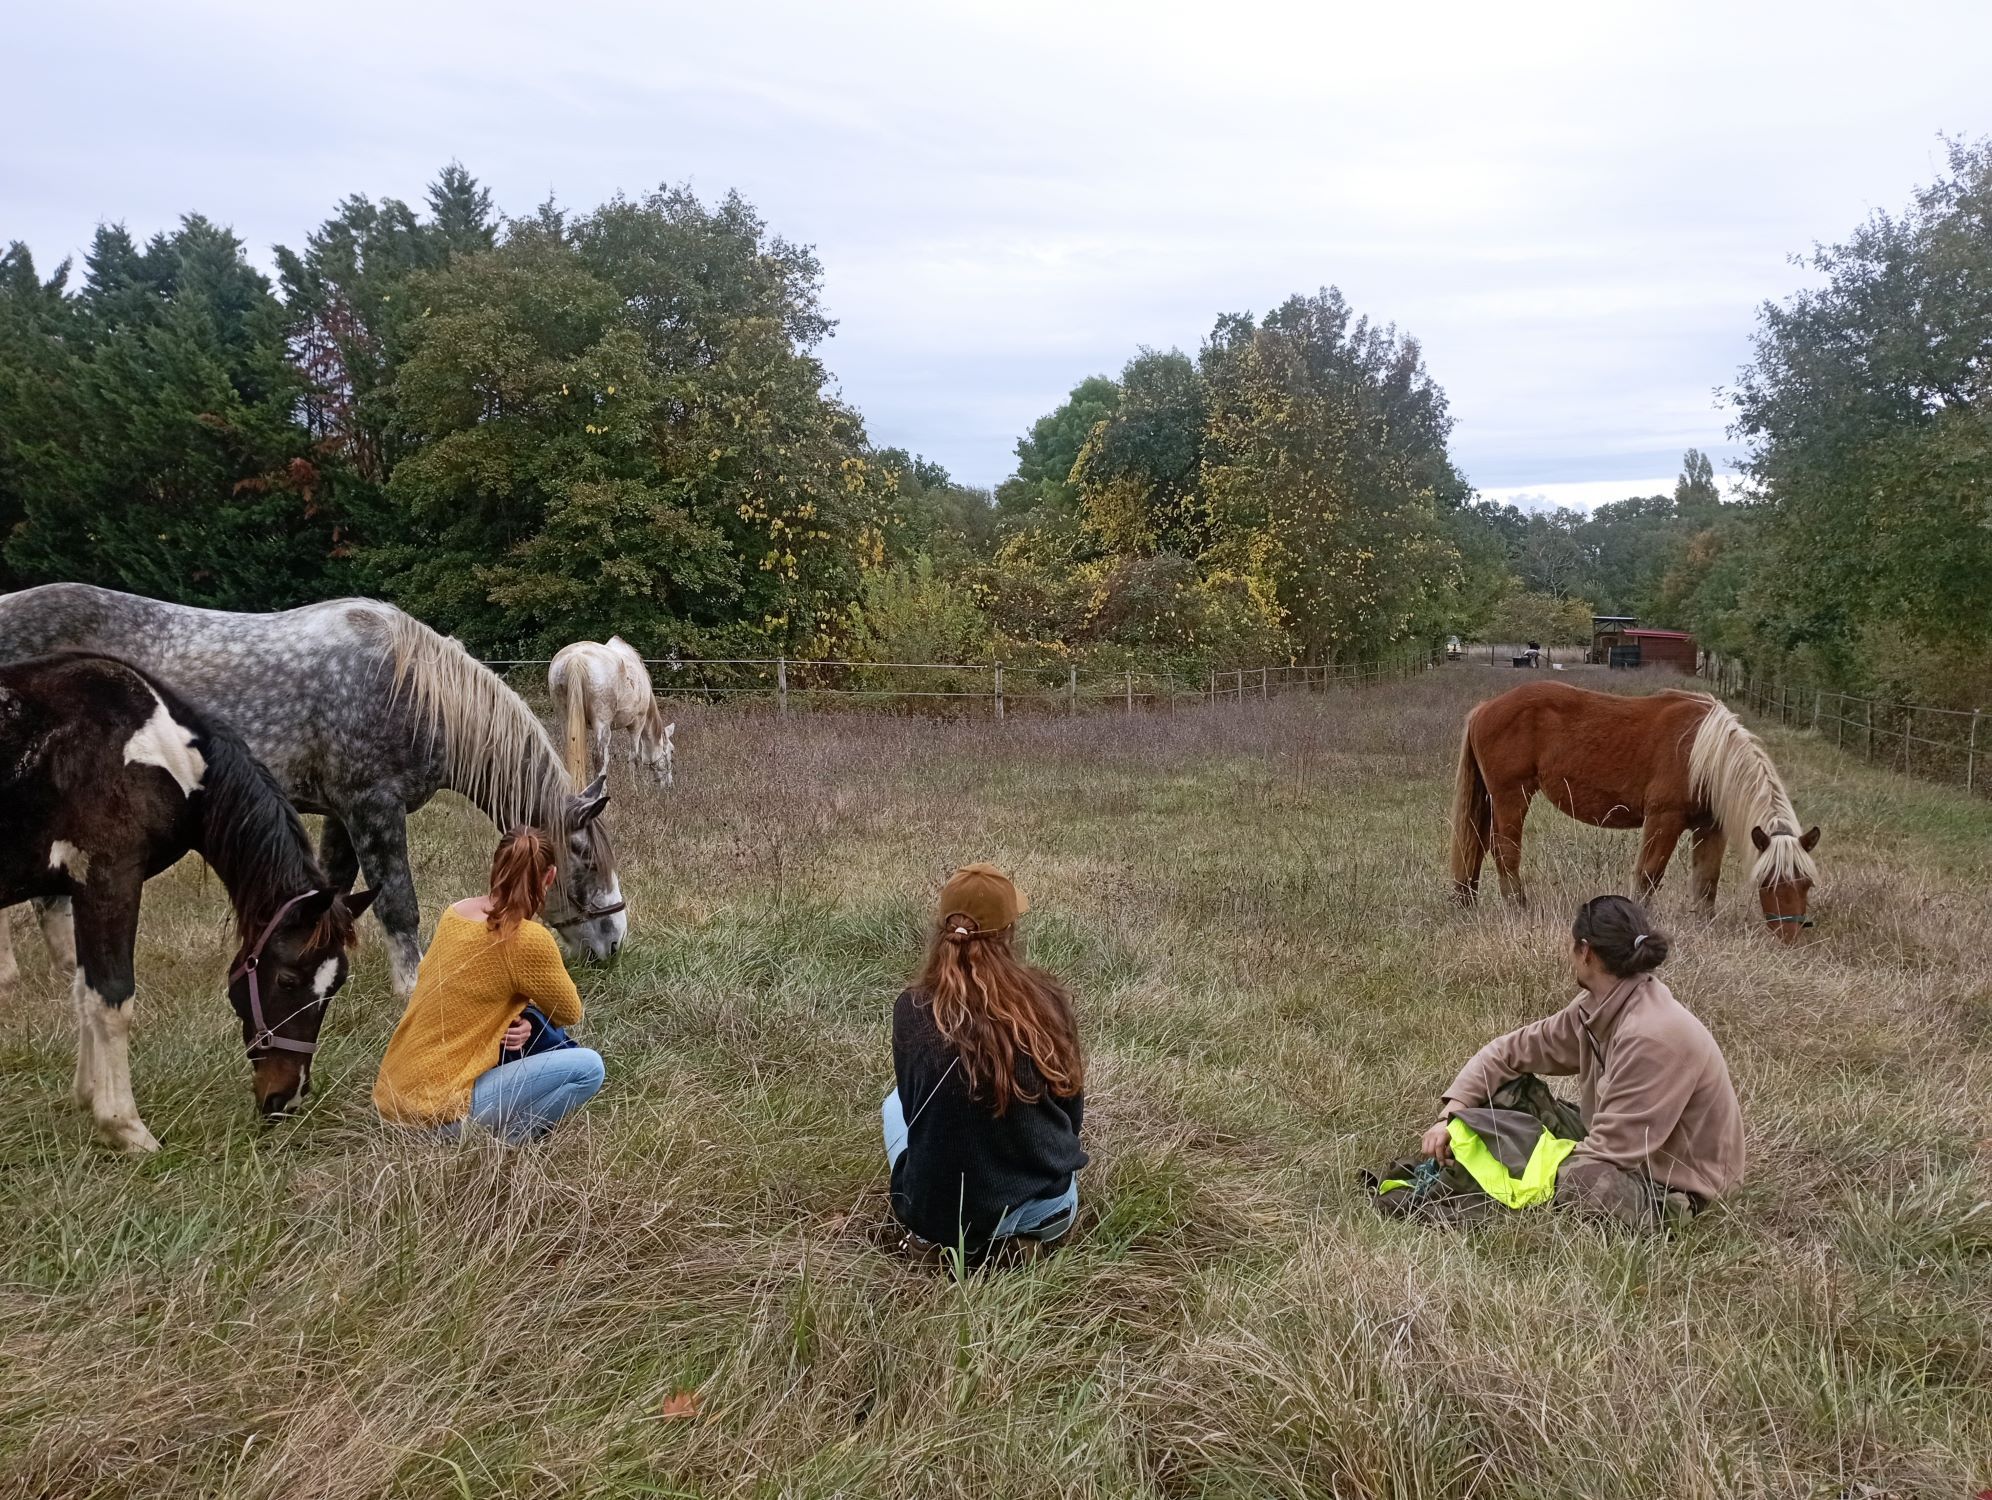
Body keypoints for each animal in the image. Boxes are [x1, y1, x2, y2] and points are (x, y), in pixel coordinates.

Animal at [0, 584, 627, 997]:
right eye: (584, 857)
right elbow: (398, 905)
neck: (410, 688)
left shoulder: (341, 814)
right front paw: (411, 992)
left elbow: (332, 888)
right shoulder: (372, 806)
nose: (615, 942)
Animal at [0, 653, 378, 1150]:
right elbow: (112, 999)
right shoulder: (109, 879)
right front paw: (125, 1127)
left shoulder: (81, 890)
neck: (162, 751)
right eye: (287, 981)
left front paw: (88, 1096)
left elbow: (84, 991)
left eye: (334, 987)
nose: (287, 1099)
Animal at [549, 636, 675, 787]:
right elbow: (634, 758)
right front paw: (634, 787)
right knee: (599, 757)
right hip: (602, 724)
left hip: (565, 719)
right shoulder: (637, 723)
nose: (669, 785)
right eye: (671, 751)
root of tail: (576, 658)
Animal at [1450, 680, 1822, 940]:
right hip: (1512, 796)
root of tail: (1485, 708)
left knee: (1479, 846)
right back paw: (1518, 909)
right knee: (1505, 850)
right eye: (1768, 881)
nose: (1790, 937)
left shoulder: (1711, 829)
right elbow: (1648, 876)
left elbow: (1706, 883)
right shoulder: (1664, 819)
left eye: (1806, 884)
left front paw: (1704, 928)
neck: (1704, 753)